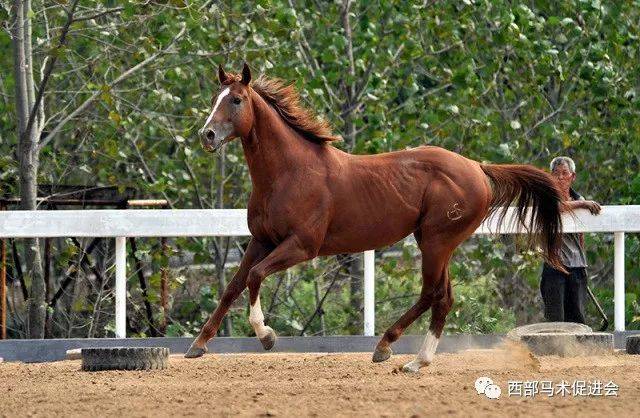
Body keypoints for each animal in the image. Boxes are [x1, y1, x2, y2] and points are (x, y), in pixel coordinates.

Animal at [188, 62, 564, 372]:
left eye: (237, 100)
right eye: (215, 97)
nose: (207, 135)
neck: (289, 173)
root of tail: (477, 167)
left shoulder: (302, 246)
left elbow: (254, 276)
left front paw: (266, 335)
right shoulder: (262, 240)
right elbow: (233, 287)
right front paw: (198, 345)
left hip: (437, 241)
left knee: (431, 293)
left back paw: (385, 346)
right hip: (435, 242)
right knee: (444, 297)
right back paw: (417, 361)